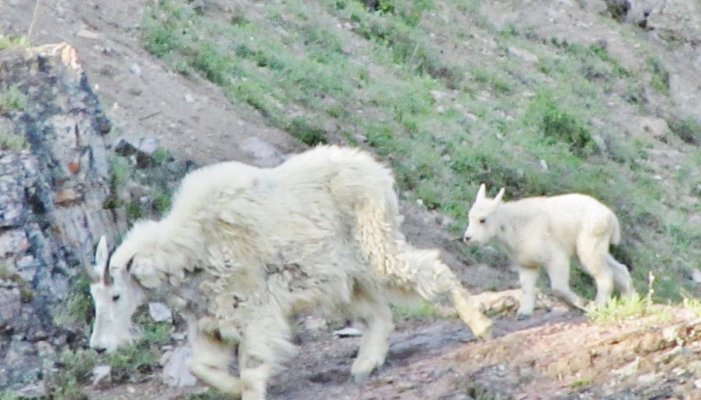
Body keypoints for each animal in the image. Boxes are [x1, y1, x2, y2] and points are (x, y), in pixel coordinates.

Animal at [89, 146, 492, 400]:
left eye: (116, 295)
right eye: (95, 298)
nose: (99, 346)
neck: (192, 247)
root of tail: (379, 173)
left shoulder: (252, 306)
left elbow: (253, 366)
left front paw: (249, 391)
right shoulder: (207, 318)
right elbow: (202, 366)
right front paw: (231, 388)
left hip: (375, 244)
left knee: (429, 271)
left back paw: (480, 324)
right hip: (341, 278)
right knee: (378, 312)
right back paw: (364, 365)